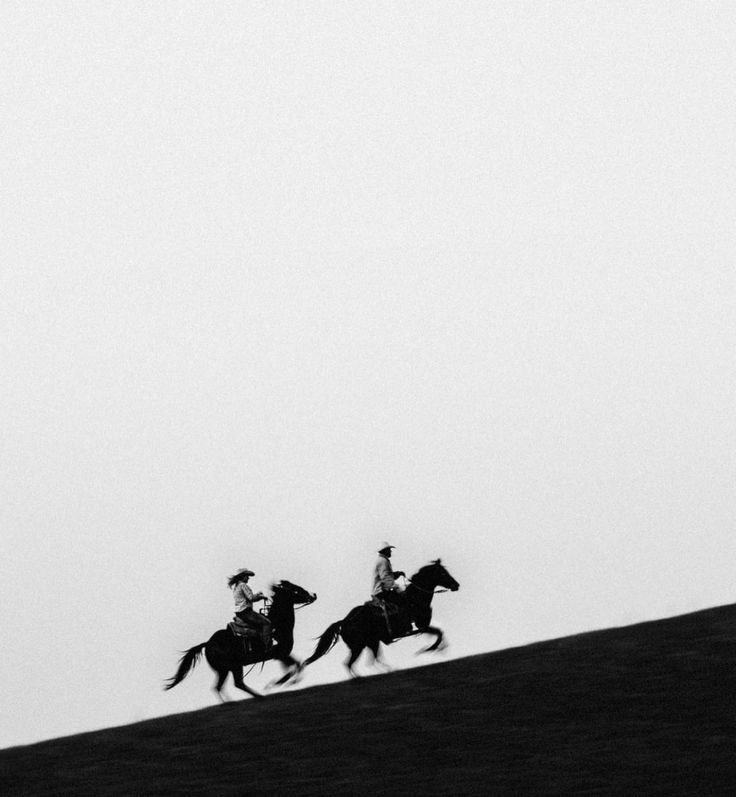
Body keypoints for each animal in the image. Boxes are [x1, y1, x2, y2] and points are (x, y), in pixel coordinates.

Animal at [164, 580, 316, 696]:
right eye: (295, 589)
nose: (313, 595)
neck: (277, 625)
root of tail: (207, 643)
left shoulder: (282, 655)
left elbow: (298, 665)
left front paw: (285, 682)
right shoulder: (280, 654)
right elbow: (294, 669)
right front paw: (274, 684)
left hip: (226, 670)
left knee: (221, 686)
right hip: (232, 667)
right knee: (236, 684)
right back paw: (257, 697)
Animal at [302, 560, 458, 676]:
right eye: (443, 572)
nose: (456, 585)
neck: (415, 598)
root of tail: (344, 622)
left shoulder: (422, 627)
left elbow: (440, 633)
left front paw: (439, 648)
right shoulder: (422, 626)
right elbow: (439, 634)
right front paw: (429, 649)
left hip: (372, 643)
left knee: (371, 660)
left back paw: (389, 670)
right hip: (359, 646)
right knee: (350, 664)